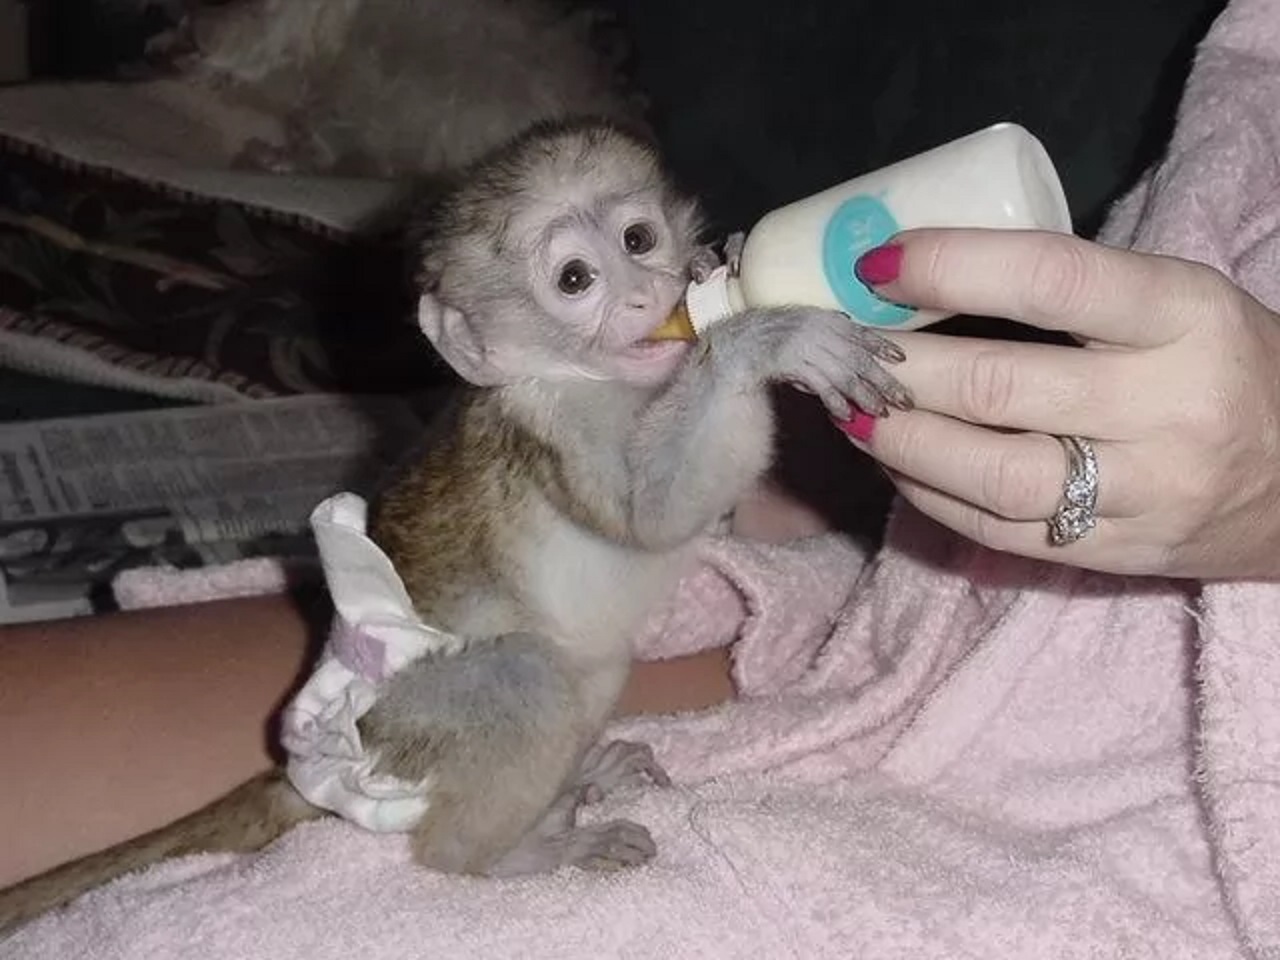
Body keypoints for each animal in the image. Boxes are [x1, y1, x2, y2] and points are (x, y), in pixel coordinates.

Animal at [0, 116, 911, 935]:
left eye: (638, 237)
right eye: (575, 280)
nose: (649, 294)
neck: (605, 382)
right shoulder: (553, 420)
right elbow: (647, 515)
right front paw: (758, 340)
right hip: (417, 717)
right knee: (524, 679)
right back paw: (503, 854)